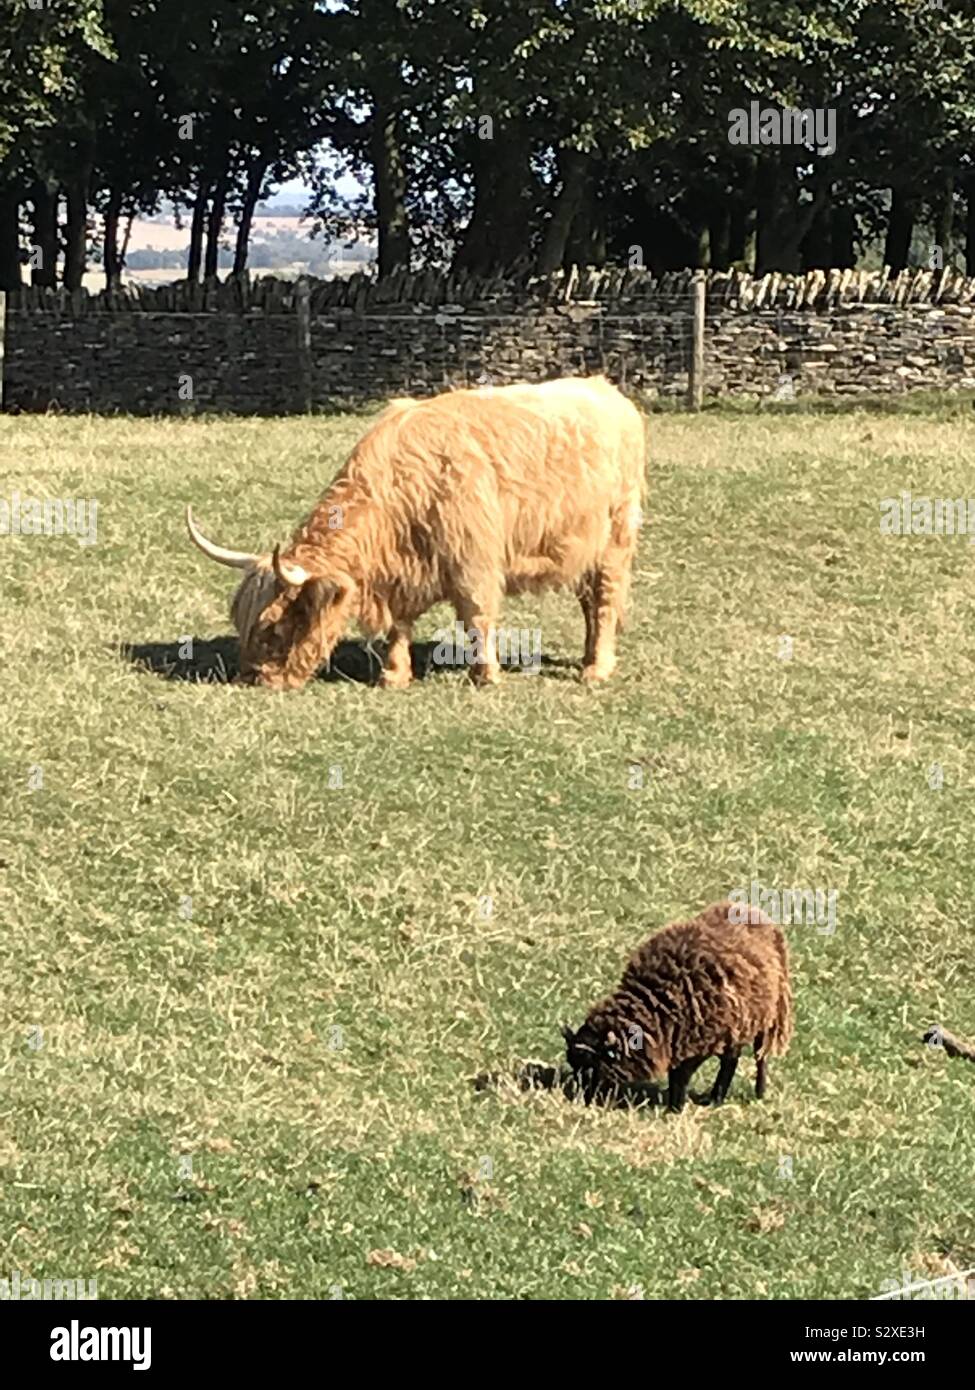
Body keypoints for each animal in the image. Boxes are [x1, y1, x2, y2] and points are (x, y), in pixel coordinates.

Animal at [187, 375, 650, 689]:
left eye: (272, 626)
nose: (253, 678)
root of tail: (605, 388)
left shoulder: (474, 561)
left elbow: (477, 616)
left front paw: (486, 676)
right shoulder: (399, 572)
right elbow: (399, 624)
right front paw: (394, 675)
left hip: (615, 539)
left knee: (605, 601)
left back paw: (596, 669)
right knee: (591, 603)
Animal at [561, 900, 790, 1117]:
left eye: (591, 1067)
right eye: (572, 1064)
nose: (582, 1100)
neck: (656, 1005)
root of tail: (751, 909)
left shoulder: (698, 1040)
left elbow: (681, 1075)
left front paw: (675, 1108)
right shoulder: (675, 1038)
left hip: (767, 1017)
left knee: (756, 1057)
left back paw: (754, 1092)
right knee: (731, 1058)